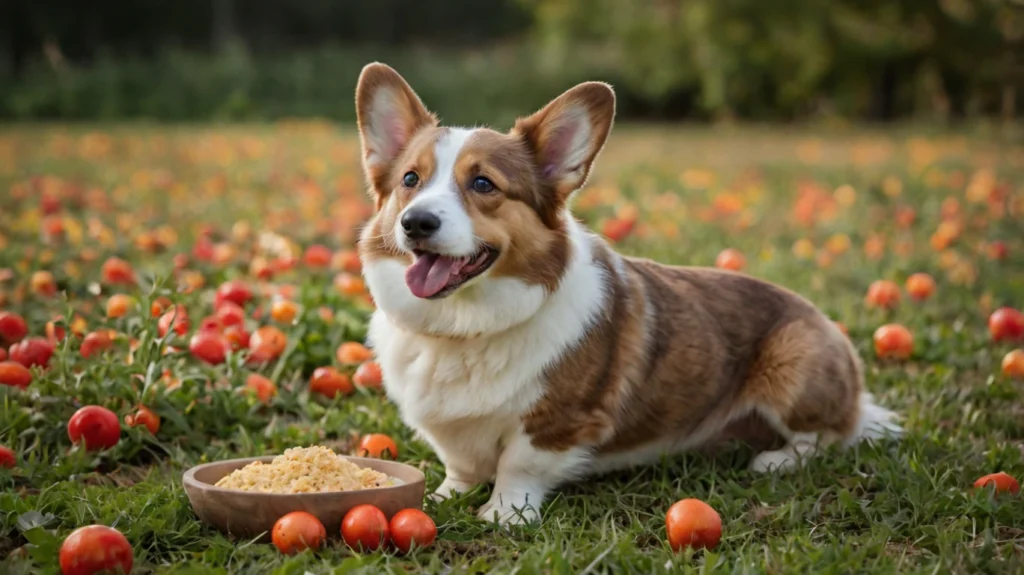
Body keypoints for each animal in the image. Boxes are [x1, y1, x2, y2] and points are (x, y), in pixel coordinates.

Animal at [356, 62, 901, 523]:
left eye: (484, 184)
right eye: (410, 179)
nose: (416, 222)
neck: (461, 327)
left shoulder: (554, 426)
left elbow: (517, 467)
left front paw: (504, 515)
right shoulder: (452, 435)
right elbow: (461, 467)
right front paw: (442, 496)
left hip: (792, 364)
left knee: (829, 434)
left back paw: (776, 459)